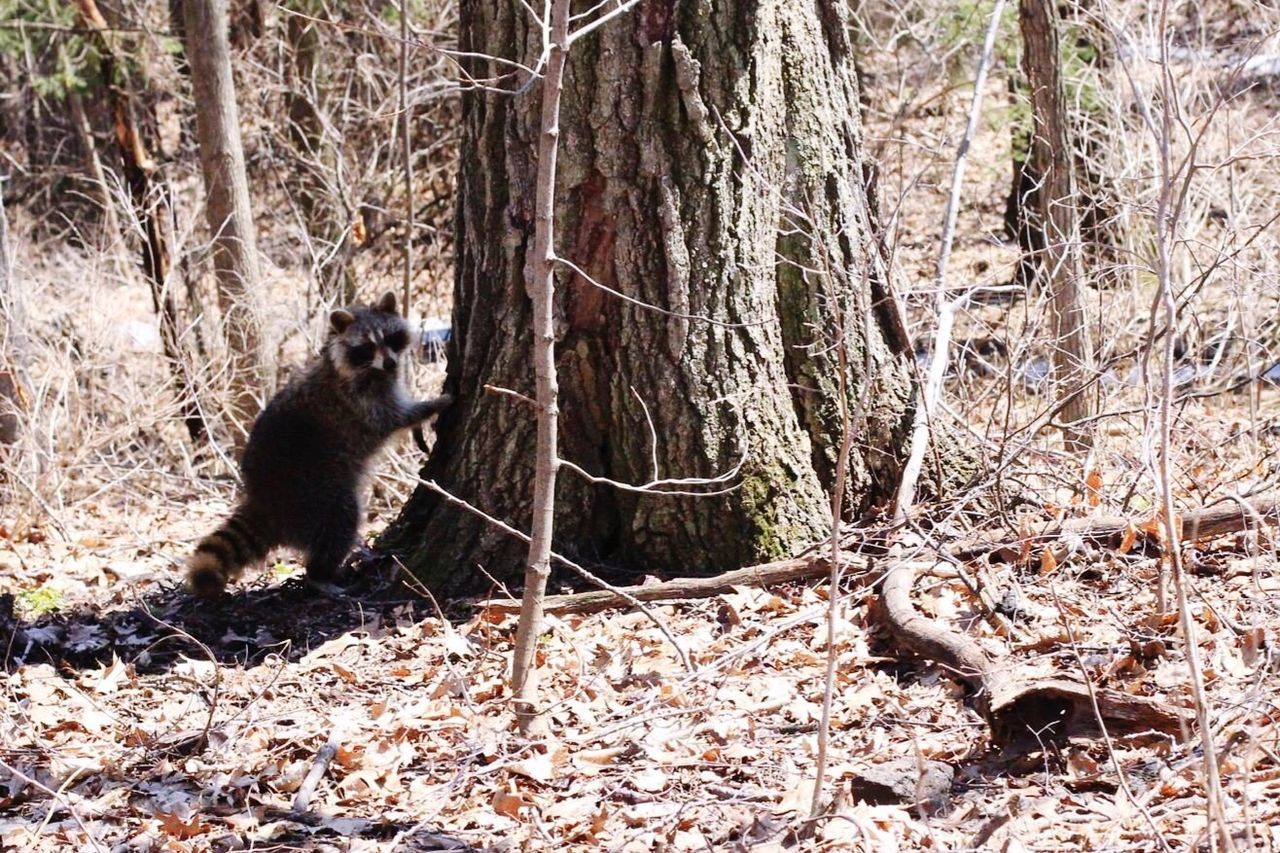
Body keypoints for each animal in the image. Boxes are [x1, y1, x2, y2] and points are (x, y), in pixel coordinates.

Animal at [186, 289, 453, 594]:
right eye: (366, 347)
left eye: (389, 337)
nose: (390, 363)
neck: (368, 369)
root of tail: (265, 502)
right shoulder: (357, 400)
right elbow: (391, 418)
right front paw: (432, 405)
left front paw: (420, 422)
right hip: (317, 493)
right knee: (340, 521)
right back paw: (320, 574)